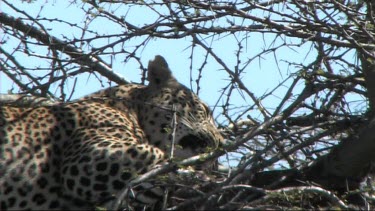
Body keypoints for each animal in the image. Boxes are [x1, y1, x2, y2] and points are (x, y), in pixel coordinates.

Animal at [0, 55, 223, 210]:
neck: (132, 110)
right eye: (204, 110)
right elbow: (160, 155)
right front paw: (199, 175)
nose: (221, 141)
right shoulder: (89, 157)